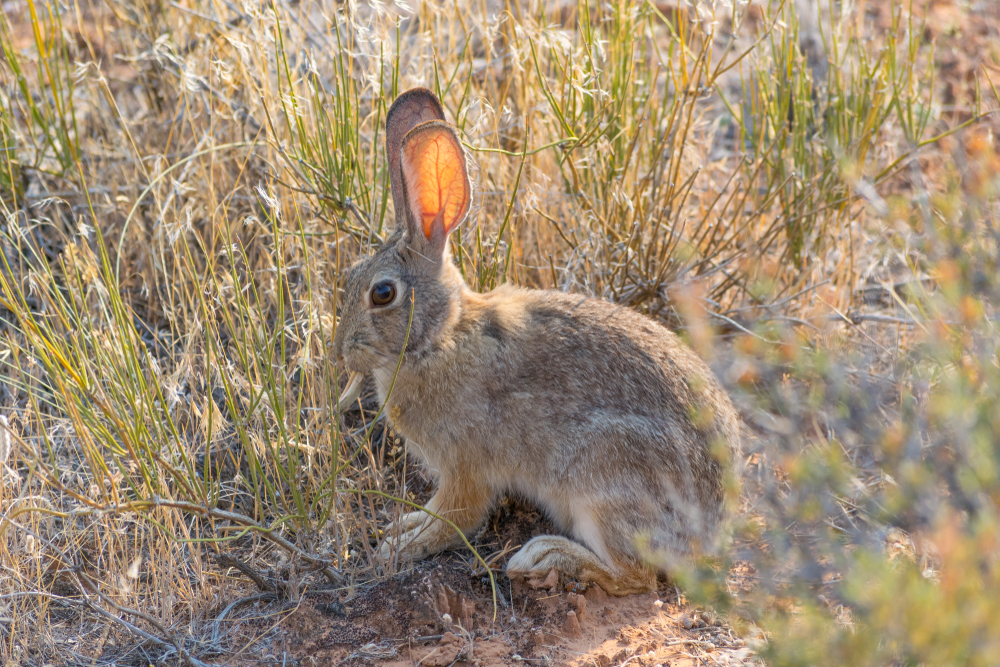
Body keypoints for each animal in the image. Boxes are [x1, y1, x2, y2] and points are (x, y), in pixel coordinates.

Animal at [336, 87, 744, 596]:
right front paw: (403, 526)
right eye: (351, 274)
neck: (442, 338)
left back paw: (545, 556)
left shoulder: (465, 467)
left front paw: (401, 548)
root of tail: (712, 530)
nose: (342, 350)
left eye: (383, 293)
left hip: (602, 481)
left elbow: (454, 518)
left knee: (635, 575)